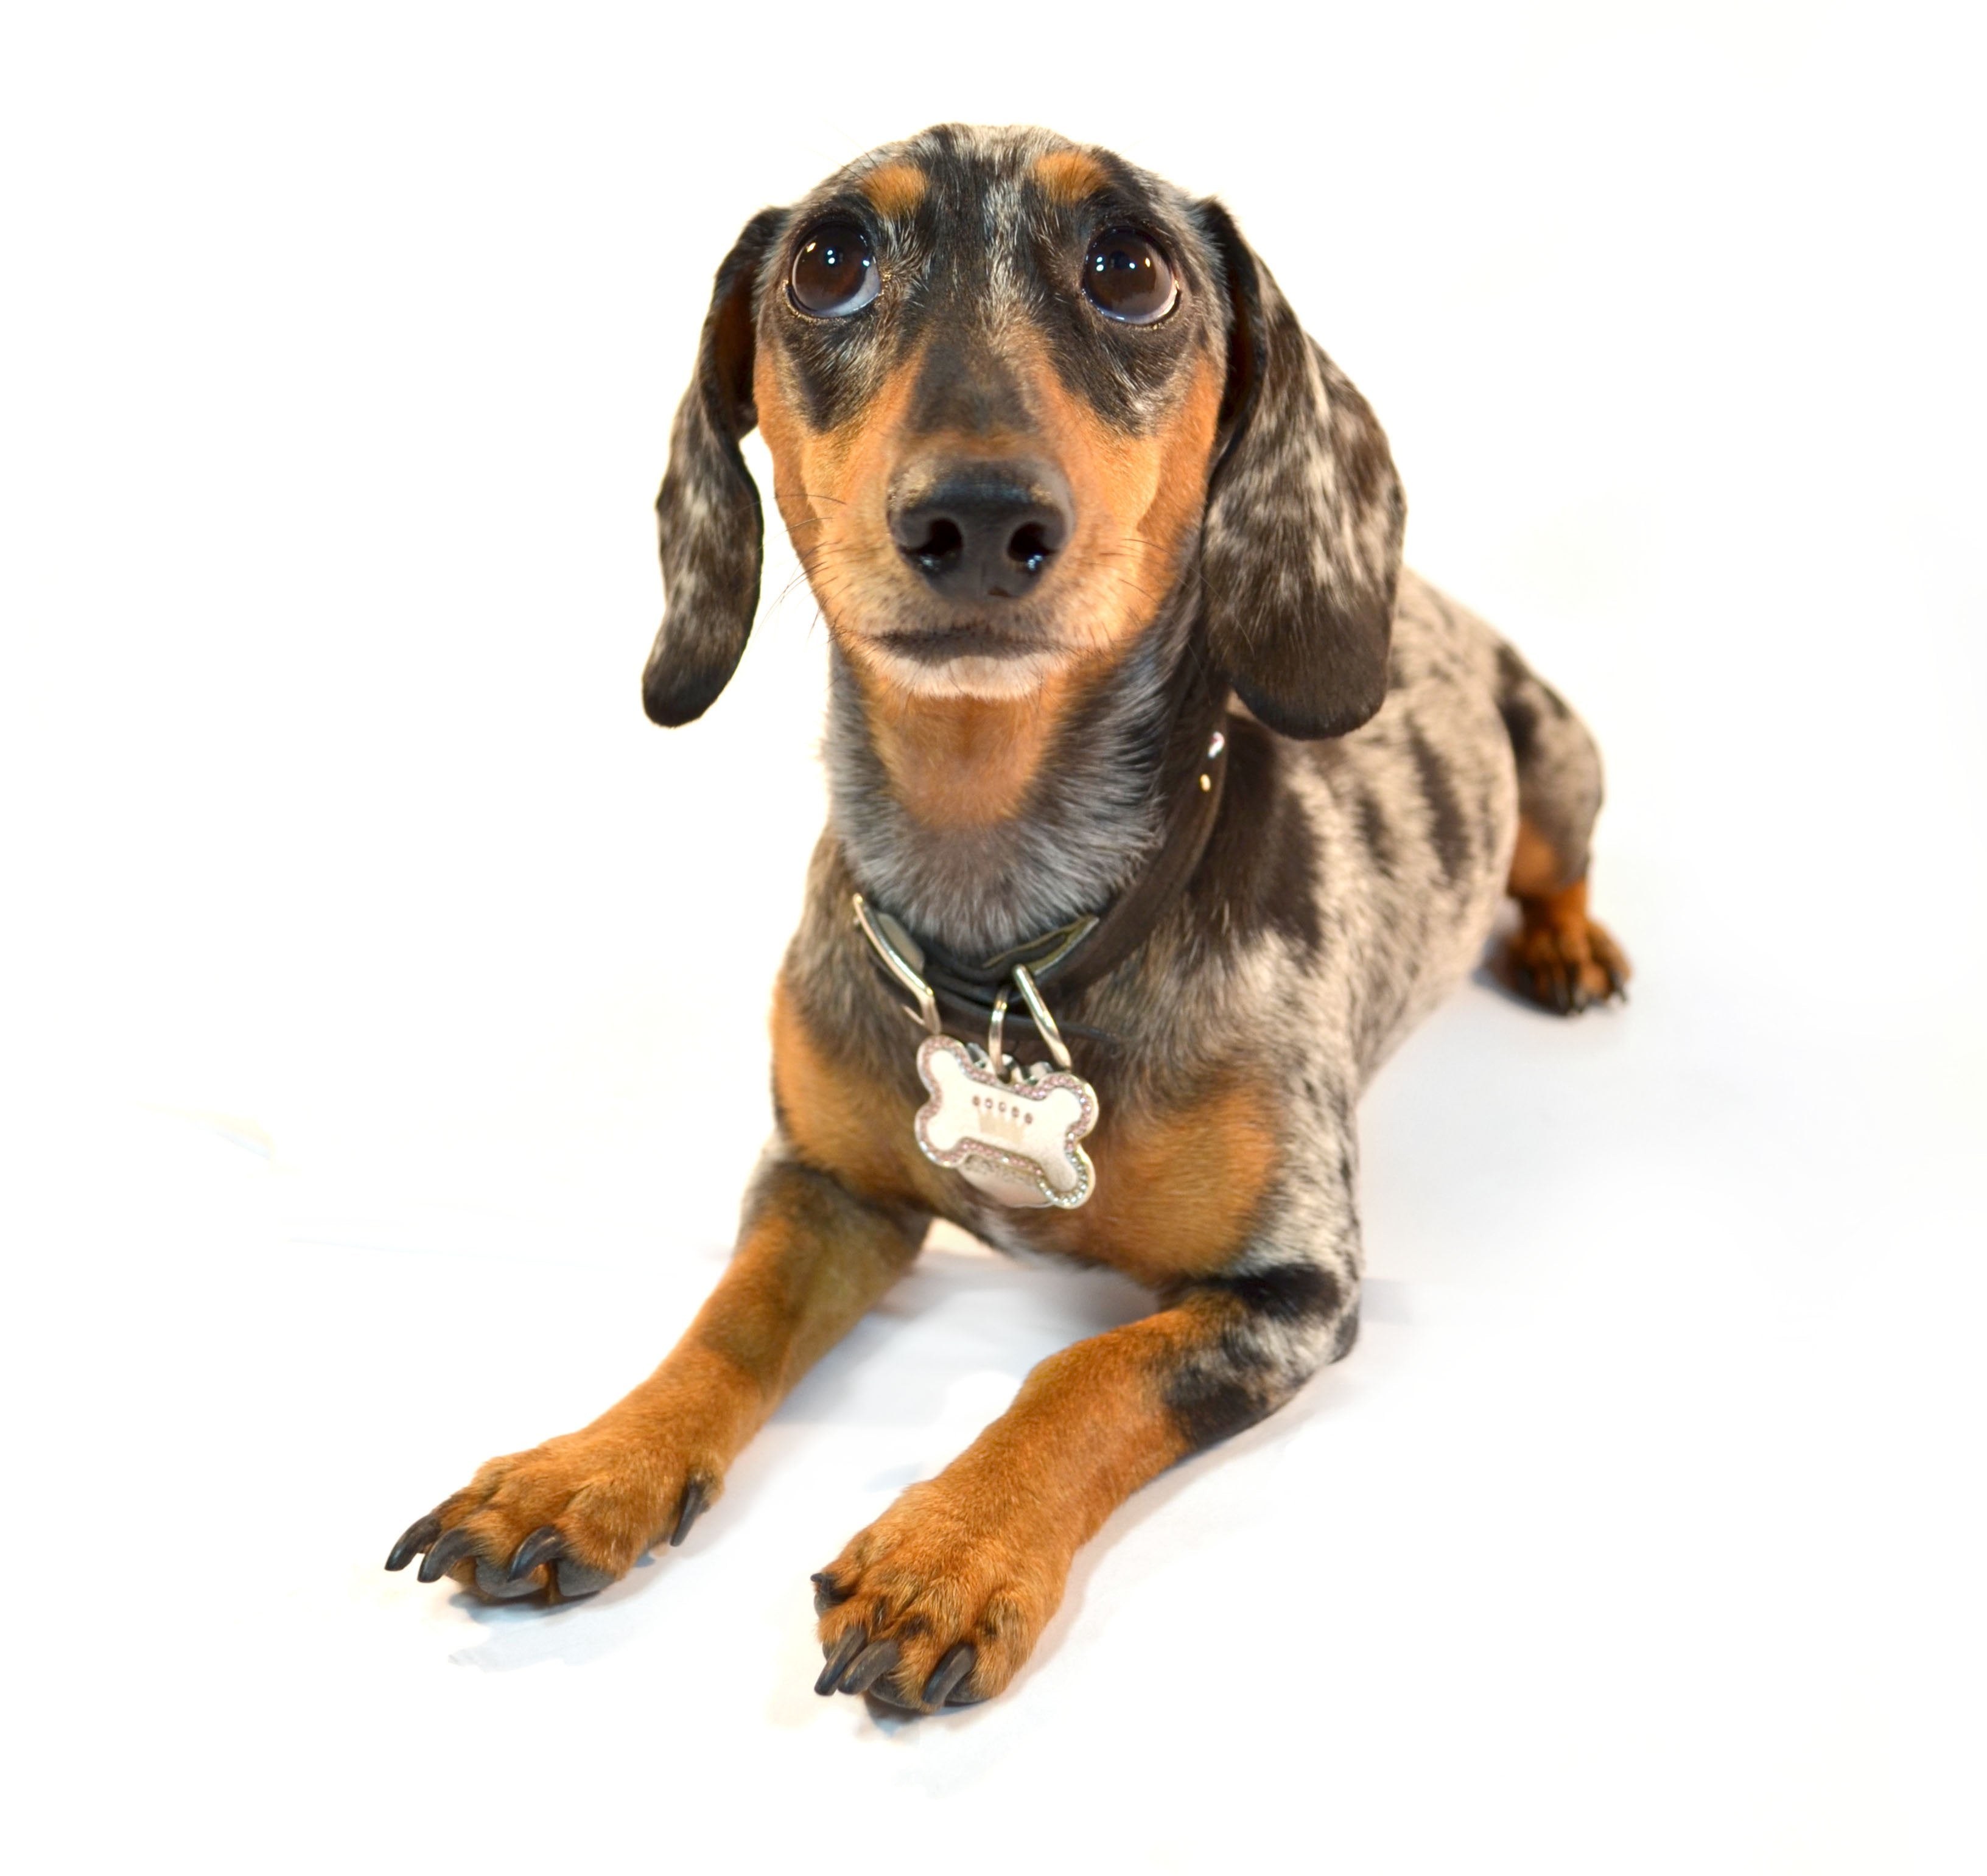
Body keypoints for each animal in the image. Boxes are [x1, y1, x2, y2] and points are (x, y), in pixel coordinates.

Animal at [379, 121, 1621, 1717]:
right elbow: (725, 1318)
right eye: (828, 261)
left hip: (1561, 756)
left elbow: (1080, 1375)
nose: (976, 517)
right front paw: (588, 1464)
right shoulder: (819, 1184)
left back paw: (1570, 944)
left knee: (1558, 861)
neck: (1006, 945)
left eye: (1132, 267)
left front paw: (950, 1550)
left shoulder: (1291, 1290)